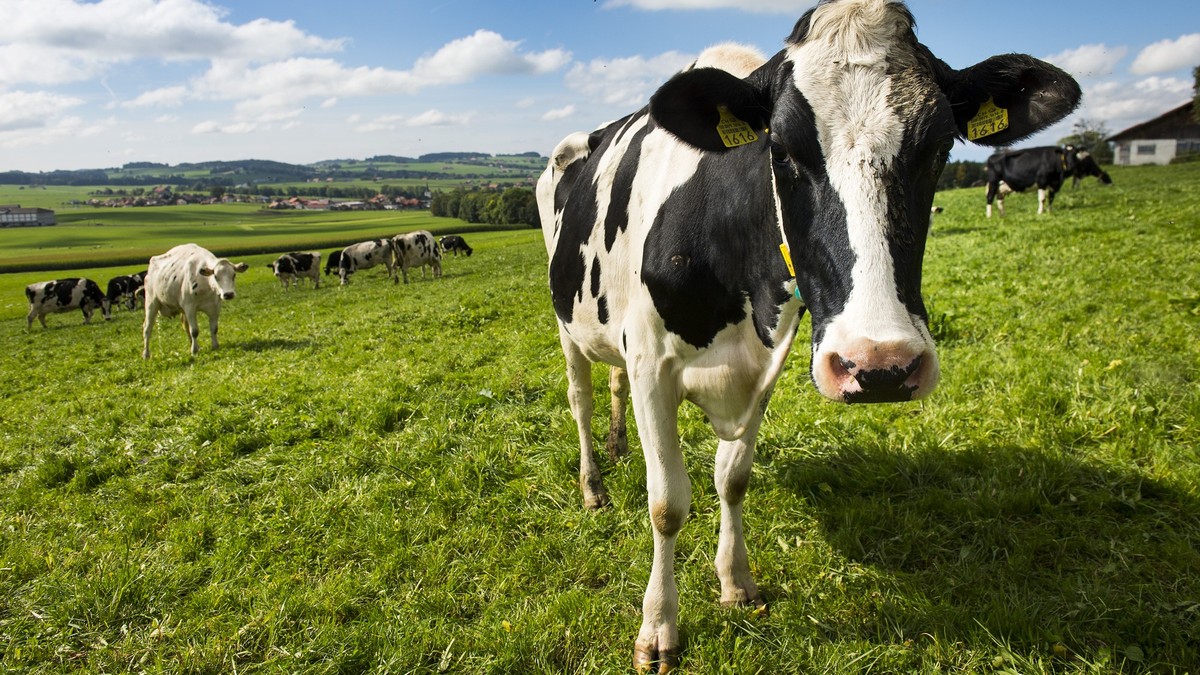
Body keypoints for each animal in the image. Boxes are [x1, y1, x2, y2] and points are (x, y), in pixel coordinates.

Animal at [538, 1, 1080, 670]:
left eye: (936, 149)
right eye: (783, 149)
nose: (880, 363)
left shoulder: (766, 362)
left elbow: (732, 478)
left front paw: (737, 582)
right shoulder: (652, 365)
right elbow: (667, 503)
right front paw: (658, 630)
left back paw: (617, 446)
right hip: (567, 324)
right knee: (581, 400)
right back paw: (593, 483)